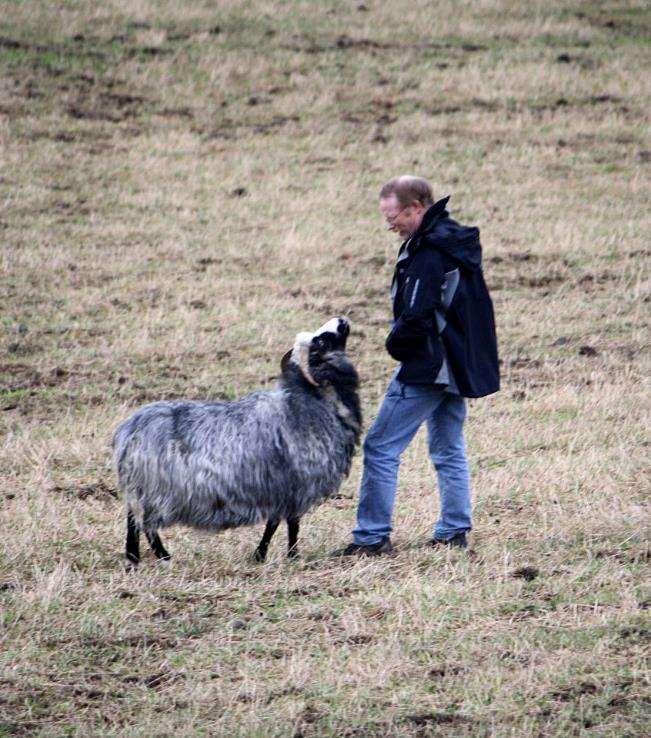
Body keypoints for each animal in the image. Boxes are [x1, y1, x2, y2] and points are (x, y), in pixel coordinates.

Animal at [112, 314, 362, 564]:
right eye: (321, 342)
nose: (341, 319)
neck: (308, 401)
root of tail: (128, 431)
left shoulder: (283, 490)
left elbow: (280, 523)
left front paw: (271, 555)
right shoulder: (294, 487)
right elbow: (286, 524)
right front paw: (284, 555)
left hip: (142, 488)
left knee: (134, 519)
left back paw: (134, 557)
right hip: (156, 490)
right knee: (144, 524)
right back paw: (162, 557)